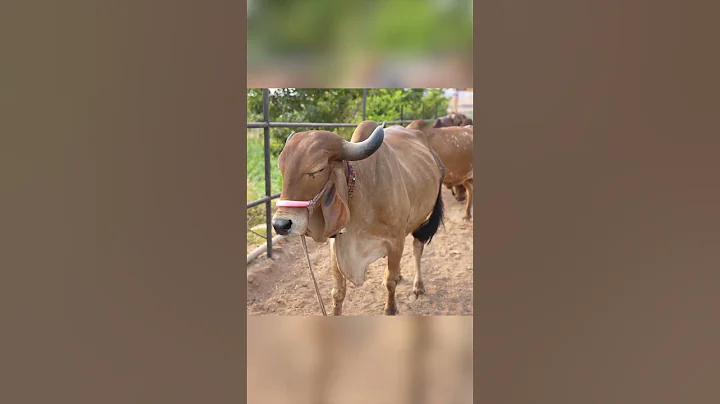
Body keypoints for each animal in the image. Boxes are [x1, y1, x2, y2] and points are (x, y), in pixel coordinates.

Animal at [271, 121, 445, 316]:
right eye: (282, 169)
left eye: (317, 169)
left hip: (424, 218)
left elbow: (390, 281)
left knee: (417, 247)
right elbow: (338, 292)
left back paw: (418, 285)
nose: (281, 224)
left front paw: (390, 309)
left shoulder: (396, 242)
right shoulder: (336, 246)